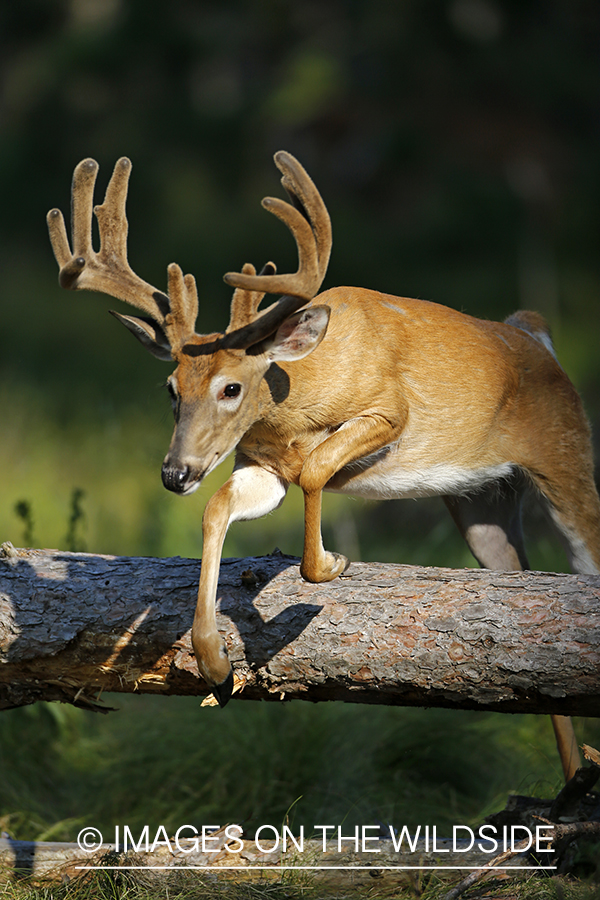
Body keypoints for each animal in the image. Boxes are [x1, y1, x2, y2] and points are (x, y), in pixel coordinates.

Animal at [48, 149, 600, 780]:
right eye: (170, 389)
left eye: (231, 387)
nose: (174, 473)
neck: (295, 401)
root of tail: (536, 335)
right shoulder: (260, 466)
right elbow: (218, 507)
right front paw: (214, 662)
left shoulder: (390, 410)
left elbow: (316, 471)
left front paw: (330, 563)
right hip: (481, 504)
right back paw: (575, 777)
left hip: (566, 458)